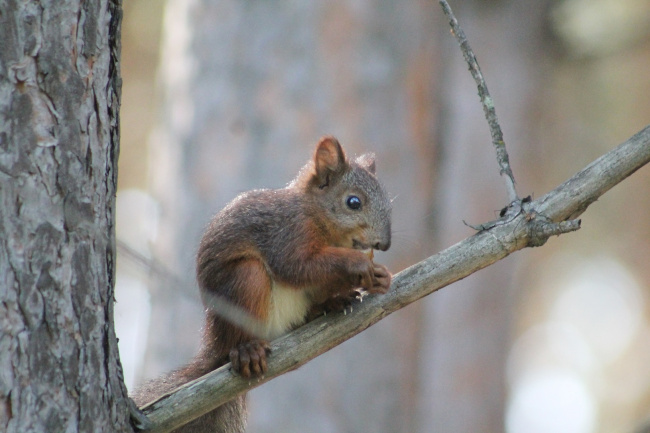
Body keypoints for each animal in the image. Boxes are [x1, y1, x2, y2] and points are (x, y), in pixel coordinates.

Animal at [132, 138, 390, 432]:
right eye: (353, 202)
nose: (384, 244)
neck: (317, 217)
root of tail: (215, 345)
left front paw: (380, 277)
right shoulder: (288, 234)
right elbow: (297, 266)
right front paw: (357, 264)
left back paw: (331, 303)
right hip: (246, 280)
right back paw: (247, 350)